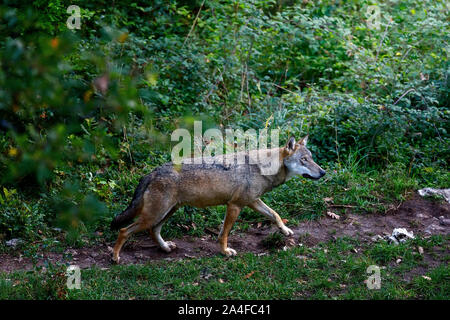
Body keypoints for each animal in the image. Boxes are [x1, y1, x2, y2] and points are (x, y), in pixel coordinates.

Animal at [110, 135, 326, 262]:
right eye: (304, 160)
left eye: (312, 158)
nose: (323, 172)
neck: (263, 168)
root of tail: (152, 172)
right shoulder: (235, 206)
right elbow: (225, 233)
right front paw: (225, 252)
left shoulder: (252, 202)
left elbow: (275, 215)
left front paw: (285, 230)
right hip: (154, 215)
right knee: (124, 230)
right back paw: (115, 257)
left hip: (166, 213)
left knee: (153, 232)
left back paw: (165, 248)